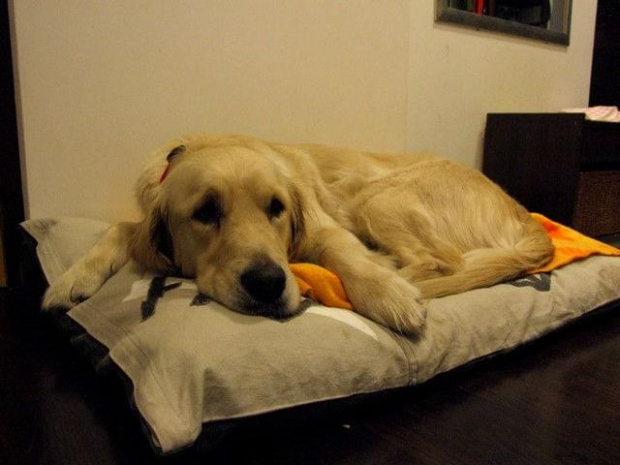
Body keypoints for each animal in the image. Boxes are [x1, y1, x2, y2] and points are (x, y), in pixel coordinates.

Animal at [43, 134, 554, 334]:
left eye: (277, 208)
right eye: (206, 212)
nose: (268, 284)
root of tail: (526, 217)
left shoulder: (324, 228)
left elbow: (347, 258)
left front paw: (386, 293)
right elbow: (120, 229)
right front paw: (72, 279)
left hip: (376, 197)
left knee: (441, 261)